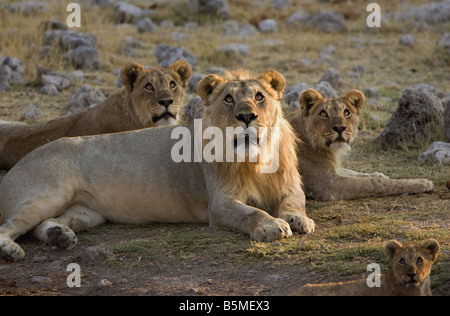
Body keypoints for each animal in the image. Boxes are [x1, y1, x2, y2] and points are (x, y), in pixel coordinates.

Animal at [286, 88, 434, 200]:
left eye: (346, 112)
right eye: (323, 114)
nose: (340, 128)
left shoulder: (334, 171)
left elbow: (353, 172)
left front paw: (380, 174)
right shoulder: (328, 185)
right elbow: (374, 183)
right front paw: (422, 183)